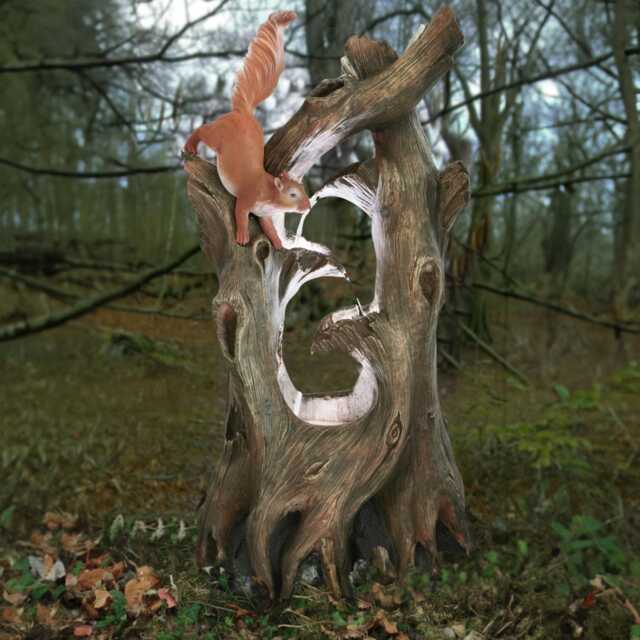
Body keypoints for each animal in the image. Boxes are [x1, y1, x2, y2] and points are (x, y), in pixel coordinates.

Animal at [184, 11, 310, 249]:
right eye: (292, 194)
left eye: (304, 191)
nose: (307, 206)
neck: (268, 192)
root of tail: (243, 113)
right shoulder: (246, 199)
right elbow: (241, 215)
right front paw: (242, 236)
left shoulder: (264, 214)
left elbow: (269, 227)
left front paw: (278, 243)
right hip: (217, 135)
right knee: (202, 130)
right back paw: (190, 145)